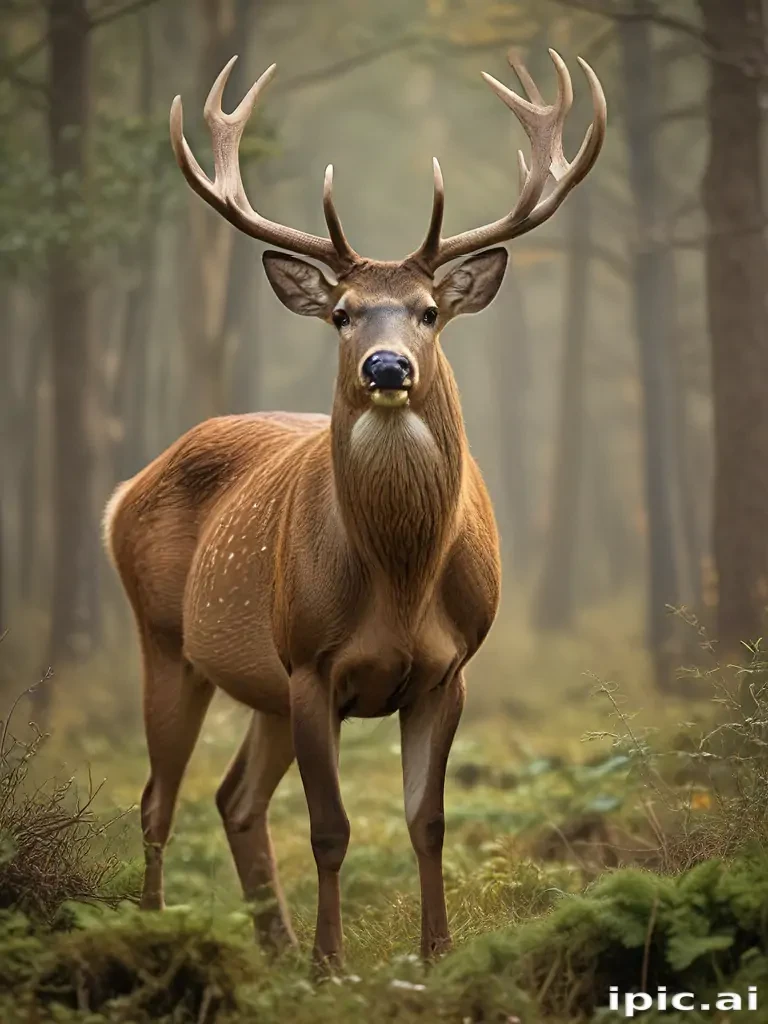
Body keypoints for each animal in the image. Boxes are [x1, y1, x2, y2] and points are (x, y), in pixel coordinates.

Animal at [103, 48, 606, 966]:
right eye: (340, 313)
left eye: (431, 311)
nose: (386, 367)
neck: (401, 580)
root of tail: (126, 490)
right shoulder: (311, 662)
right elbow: (330, 828)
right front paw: (334, 960)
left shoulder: (449, 668)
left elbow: (428, 821)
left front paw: (434, 951)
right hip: (167, 640)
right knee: (159, 798)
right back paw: (158, 933)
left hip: (257, 683)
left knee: (232, 798)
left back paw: (275, 949)